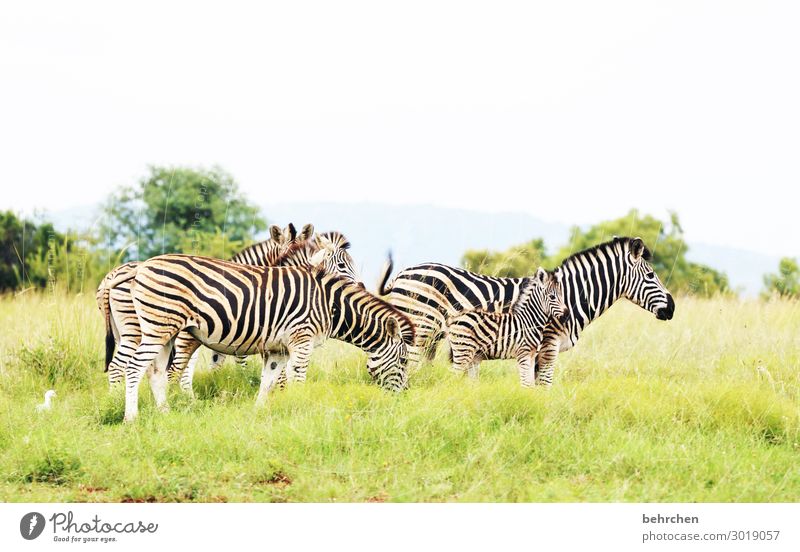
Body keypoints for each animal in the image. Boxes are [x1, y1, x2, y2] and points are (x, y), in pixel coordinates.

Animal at [107, 256, 416, 422]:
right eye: (403, 361)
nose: (403, 397)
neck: (330, 305)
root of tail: (140, 266)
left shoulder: (278, 349)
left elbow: (268, 382)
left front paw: (259, 414)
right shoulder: (301, 339)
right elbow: (297, 378)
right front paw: (299, 409)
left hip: (163, 331)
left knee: (157, 372)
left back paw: (165, 413)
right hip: (159, 326)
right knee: (134, 368)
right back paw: (131, 418)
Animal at [378, 236, 672, 384]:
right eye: (650, 275)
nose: (672, 308)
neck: (571, 295)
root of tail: (404, 272)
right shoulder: (549, 345)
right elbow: (544, 385)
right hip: (421, 327)